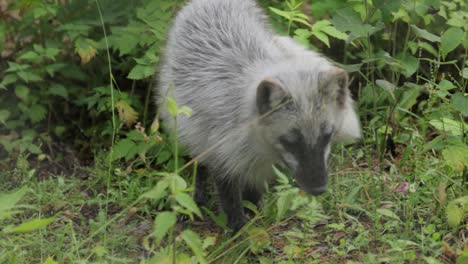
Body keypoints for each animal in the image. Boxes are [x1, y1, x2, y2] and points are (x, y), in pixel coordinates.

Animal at [155, 0, 360, 230]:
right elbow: (231, 202)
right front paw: (240, 231)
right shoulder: (223, 156)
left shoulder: (254, 165)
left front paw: (256, 219)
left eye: (327, 136)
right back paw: (196, 200)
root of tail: (207, 3)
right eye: (291, 141)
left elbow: (252, 198)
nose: (318, 190)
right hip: (190, 130)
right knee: (198, 164)